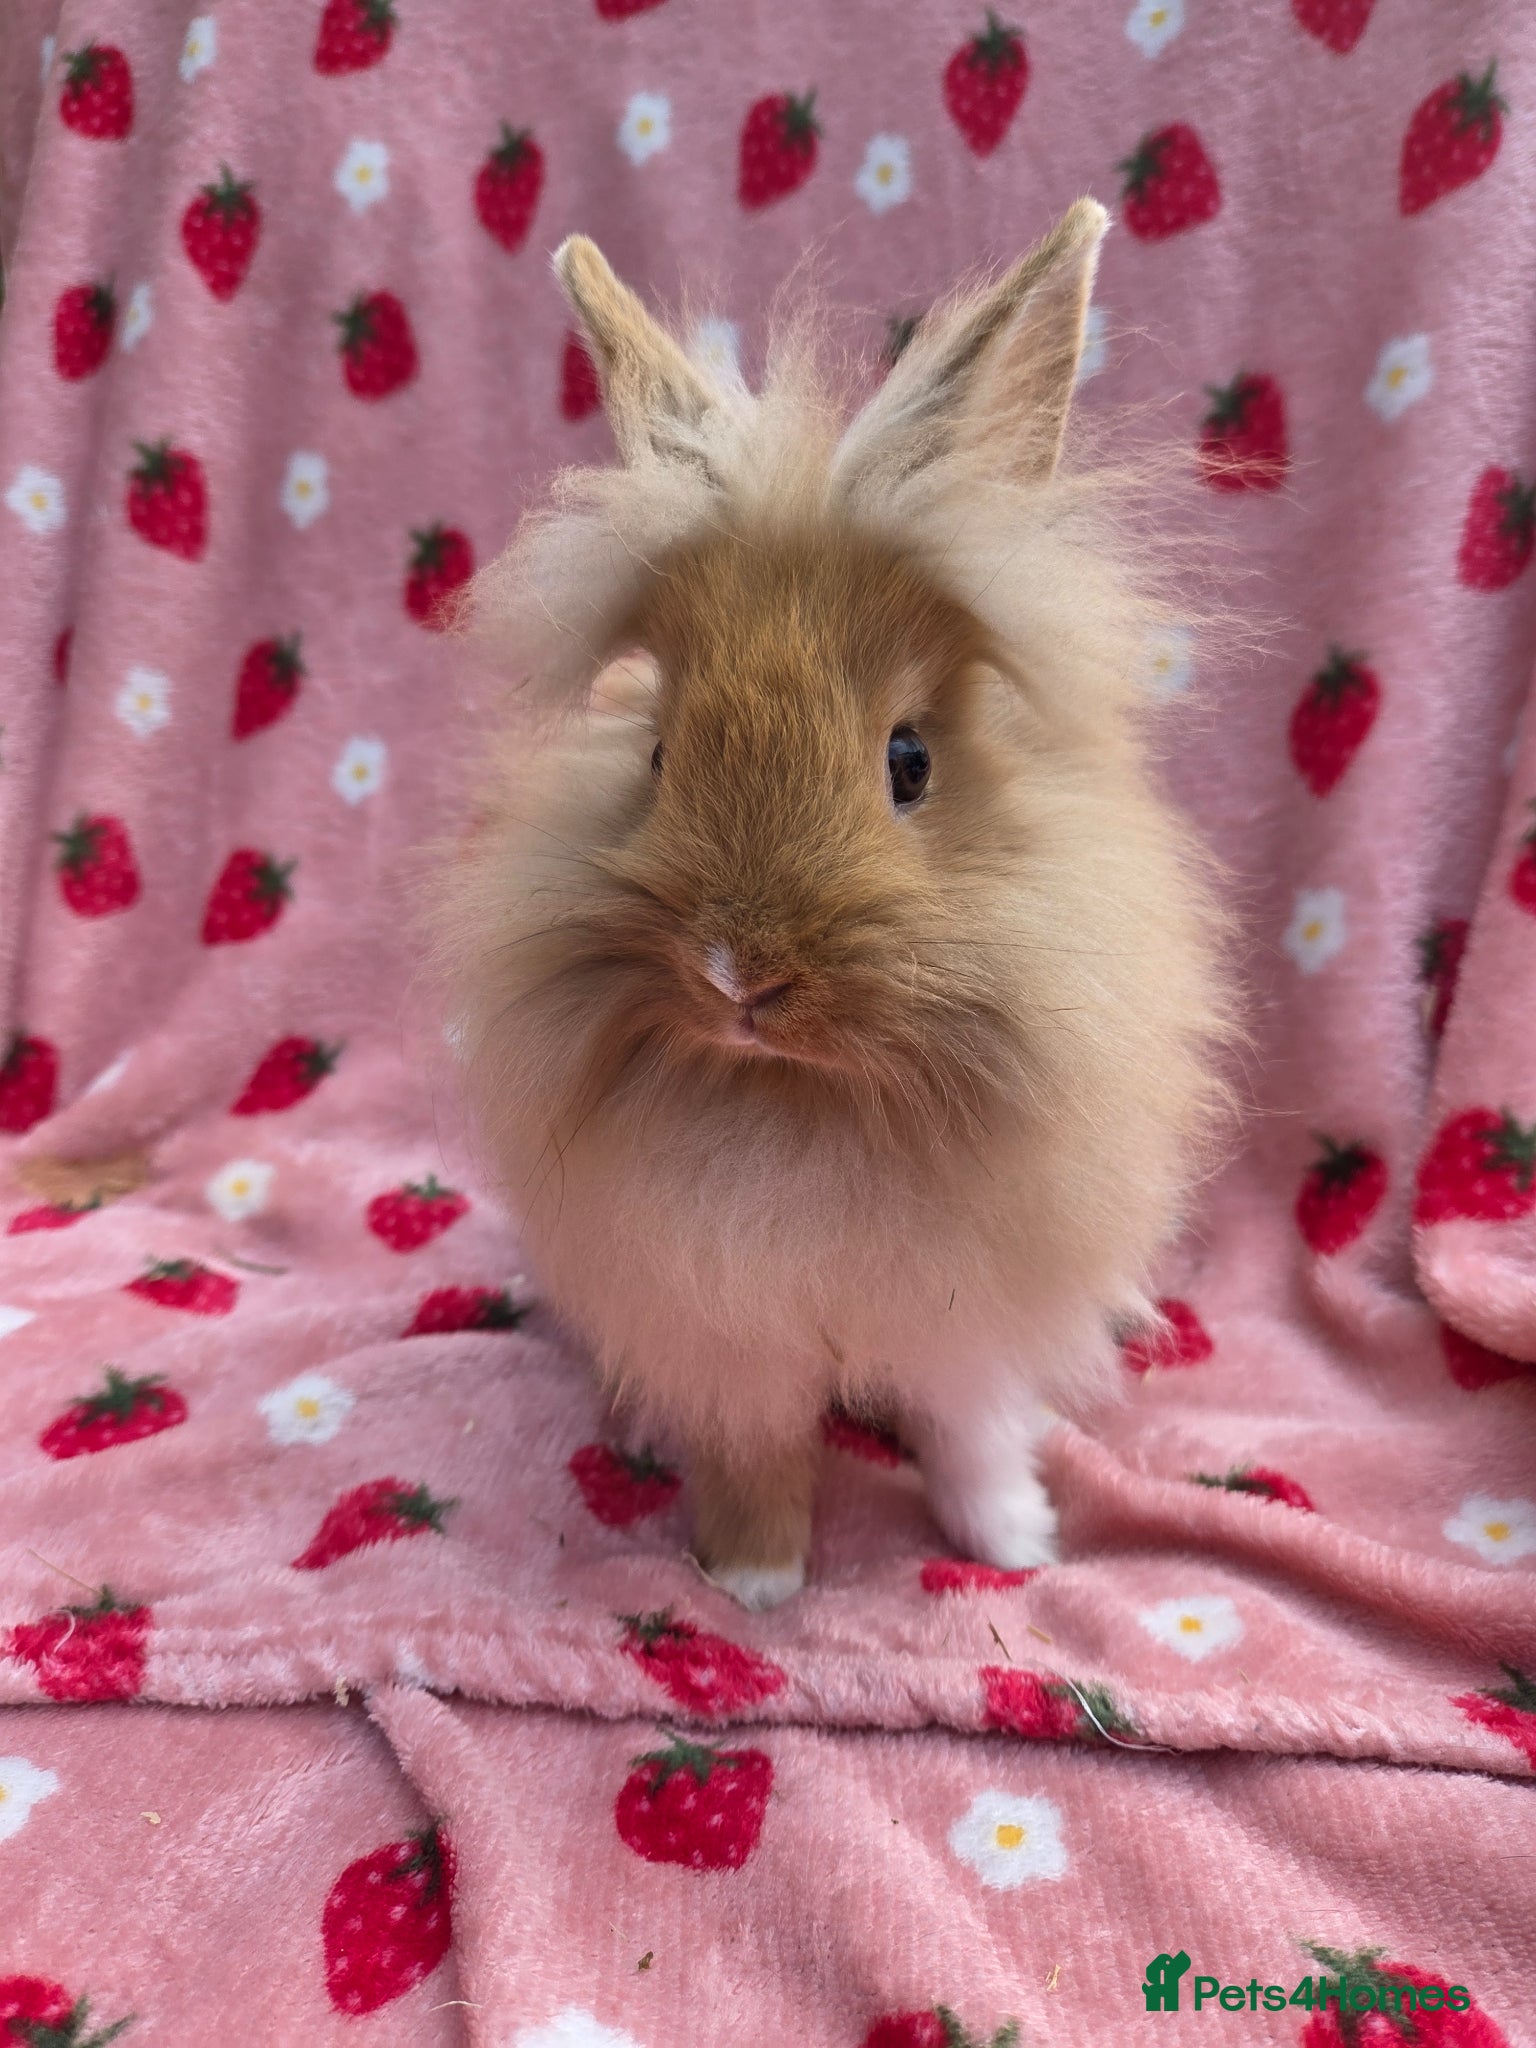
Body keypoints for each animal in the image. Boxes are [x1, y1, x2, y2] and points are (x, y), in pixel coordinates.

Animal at [431, 198, 1233, 1608]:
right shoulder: (721, 1325)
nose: (737, 973)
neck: (805, 1099)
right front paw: (753, 1582)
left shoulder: (973, 1314)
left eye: (910, 761)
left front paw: (1013, 1542)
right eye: (658, 757)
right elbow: (753, 1449)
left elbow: (971, 1425)